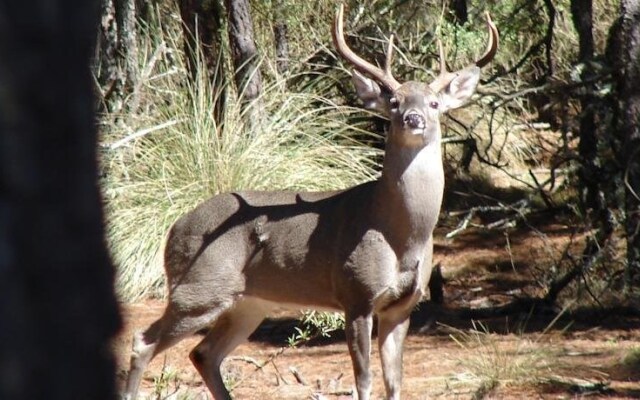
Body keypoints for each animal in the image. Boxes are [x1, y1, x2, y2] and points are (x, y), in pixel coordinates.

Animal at [122, 5, 498, 400]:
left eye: (434, 102)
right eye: (394, 103)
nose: (414, 118)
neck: (398, 233)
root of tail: (173, 229)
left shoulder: (402, 307)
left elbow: (395, 382)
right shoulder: (355, 293)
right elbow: (364, 380)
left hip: (249, 303)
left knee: (203, 353)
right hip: (200, 287)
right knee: (143, 341)